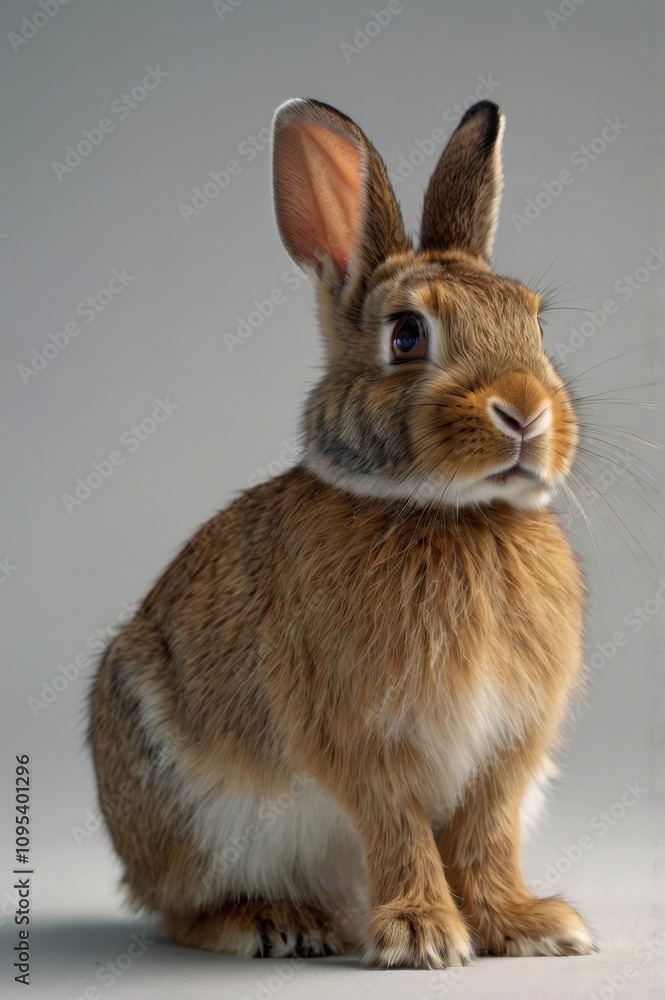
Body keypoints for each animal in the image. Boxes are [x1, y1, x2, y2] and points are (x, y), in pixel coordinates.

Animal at [88, 96, 597, 969]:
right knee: (181, 910)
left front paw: (529, 927)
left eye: (533, 324)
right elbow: (397, 828)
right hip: (181, 811)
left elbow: (486, 837)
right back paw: (275, 924)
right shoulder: (360, 734)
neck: (448, 512)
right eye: (406, 335)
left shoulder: (506, 749)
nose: (524, 411)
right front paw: (423, 936)